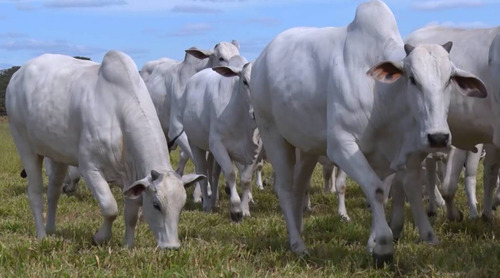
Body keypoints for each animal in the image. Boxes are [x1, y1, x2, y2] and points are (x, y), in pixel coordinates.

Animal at [5, 51, 205, 249]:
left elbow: (131, 215)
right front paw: (100, 237)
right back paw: (42, 235)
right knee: (35, 193)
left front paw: (128, 246)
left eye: (182, 205)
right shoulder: (89, 168)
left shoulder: (132, 178)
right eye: (156, 205)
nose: (171, 246)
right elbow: (110, 208)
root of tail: (17, 75)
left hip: (57, 155)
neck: (119, 113)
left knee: (53, 191)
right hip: (25, 147)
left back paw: (51, 228)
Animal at [184, 55, 262, 220]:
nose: (256, 113)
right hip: (195, 143)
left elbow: (246, 179)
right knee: (203, 171)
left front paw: (245, 209)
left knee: (214, 174)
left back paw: (214, 201)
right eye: (245, 81)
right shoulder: (217, 145)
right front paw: (236, 210)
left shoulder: (256, 148)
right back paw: (206, 205)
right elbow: (231, 174)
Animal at [252, 0, 486, 264]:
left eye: (449, 79)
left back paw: (299, 233)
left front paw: (383, 242)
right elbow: (375, 190)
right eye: (412, 79)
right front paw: (383, 246)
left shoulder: (399, 156)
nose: (438, 137)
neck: (382, 95)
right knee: (285, 188)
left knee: (300, 185)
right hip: (272, 135)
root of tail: (261, 59)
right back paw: (297, 243)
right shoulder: (342, 146)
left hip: (307, 147)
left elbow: (394, 193)